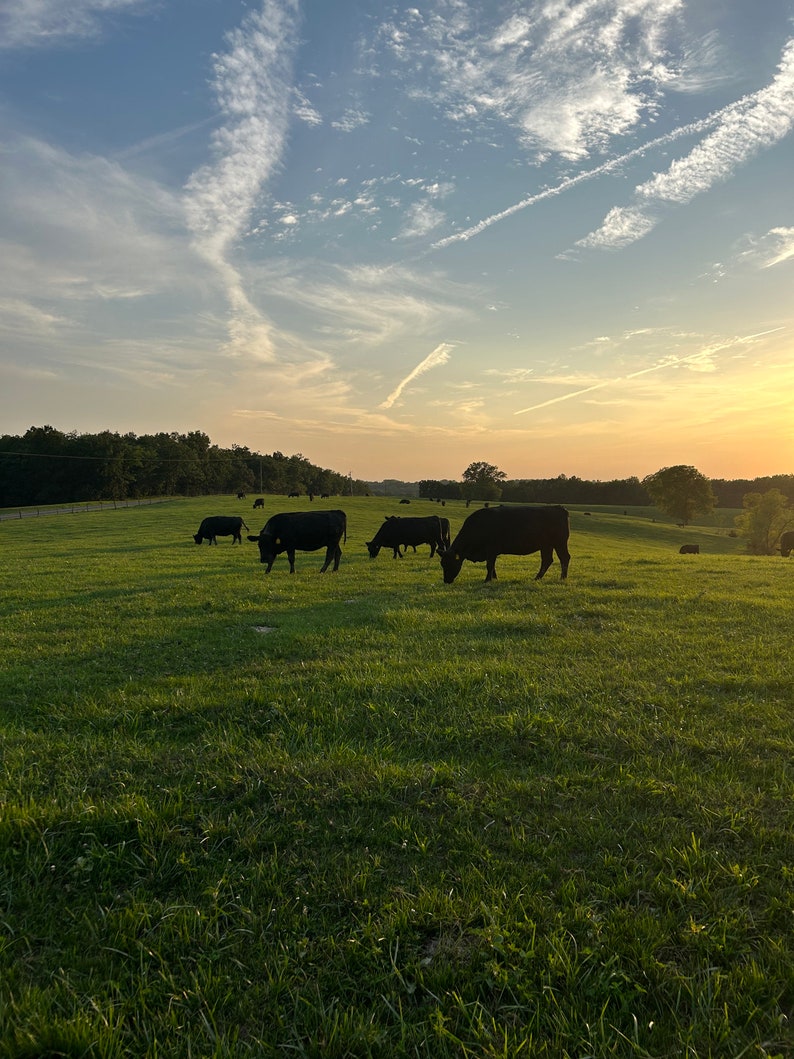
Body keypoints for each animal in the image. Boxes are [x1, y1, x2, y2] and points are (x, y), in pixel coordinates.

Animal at [442, 501, 571, 584]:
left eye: (449, 563)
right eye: (442, 564)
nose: (446, 581)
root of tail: (559, 508)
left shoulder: (491, 550)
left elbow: (489, 565)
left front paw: (487, 580)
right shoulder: (491, 553)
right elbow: (492, 566)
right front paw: (494, 578)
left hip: (559, 543)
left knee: (564, 558)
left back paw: (562, 578)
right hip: (546, 545)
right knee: (547, 560)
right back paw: (537, 578)